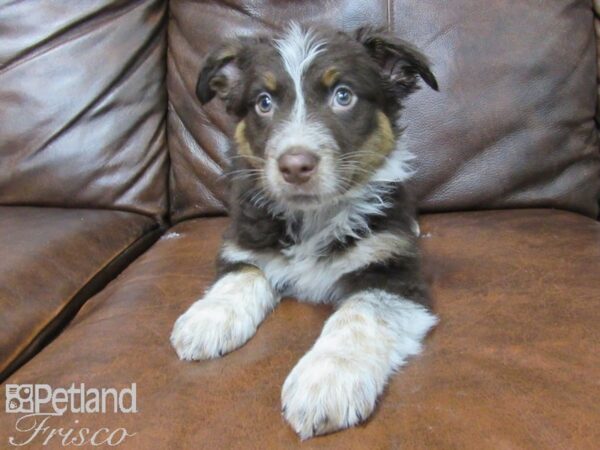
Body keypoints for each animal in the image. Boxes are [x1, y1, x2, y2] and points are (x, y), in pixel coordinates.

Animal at [171, 23, 438, 440]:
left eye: (343, 96)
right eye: (263, 102)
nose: (295, 166)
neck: (313, 217)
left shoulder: (393, 271)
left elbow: (358, 316)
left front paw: (327, 380)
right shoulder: (247, 240)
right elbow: (242, 274)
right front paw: (207, 319)